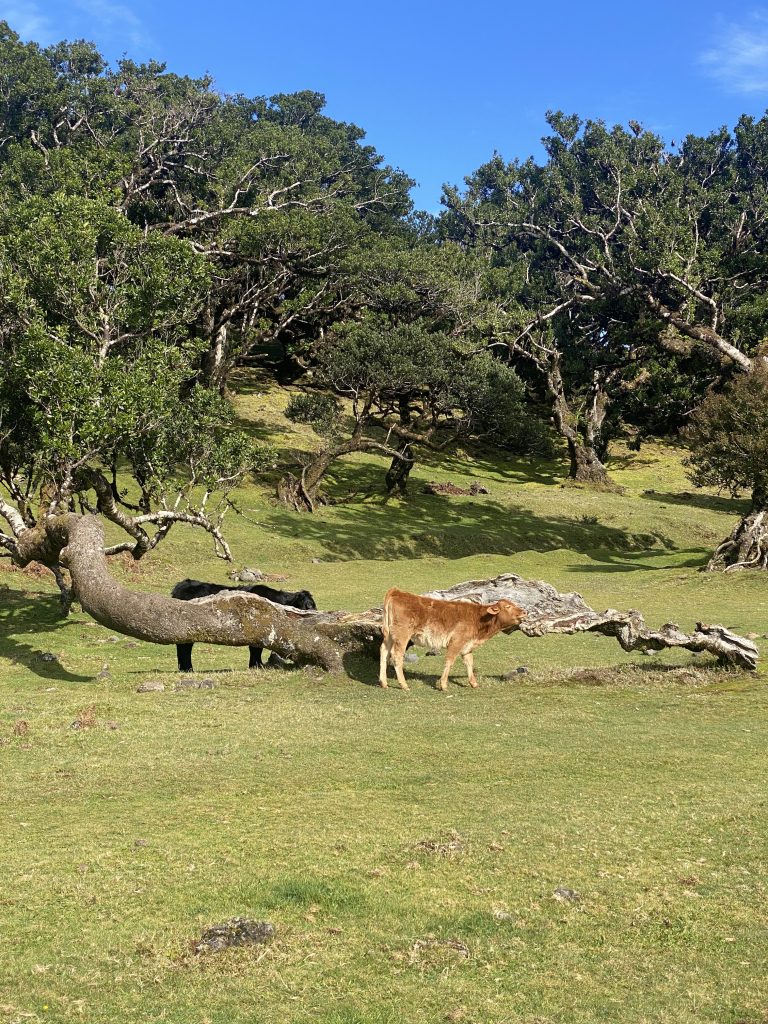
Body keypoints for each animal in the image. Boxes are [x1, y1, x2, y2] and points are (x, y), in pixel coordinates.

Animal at [379, 587, 525, 691]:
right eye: (507, 606)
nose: (524, 612)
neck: (478, 619)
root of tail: (396, 592)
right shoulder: (456, 642)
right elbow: (449, 661)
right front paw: (443, 685)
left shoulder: (467, 645)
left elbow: (469, 662)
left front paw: (474, 683)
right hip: (402, 634)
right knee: (396, 655)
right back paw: (404, 685)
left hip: (389, 635)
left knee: (384, 652)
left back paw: (383, 682)